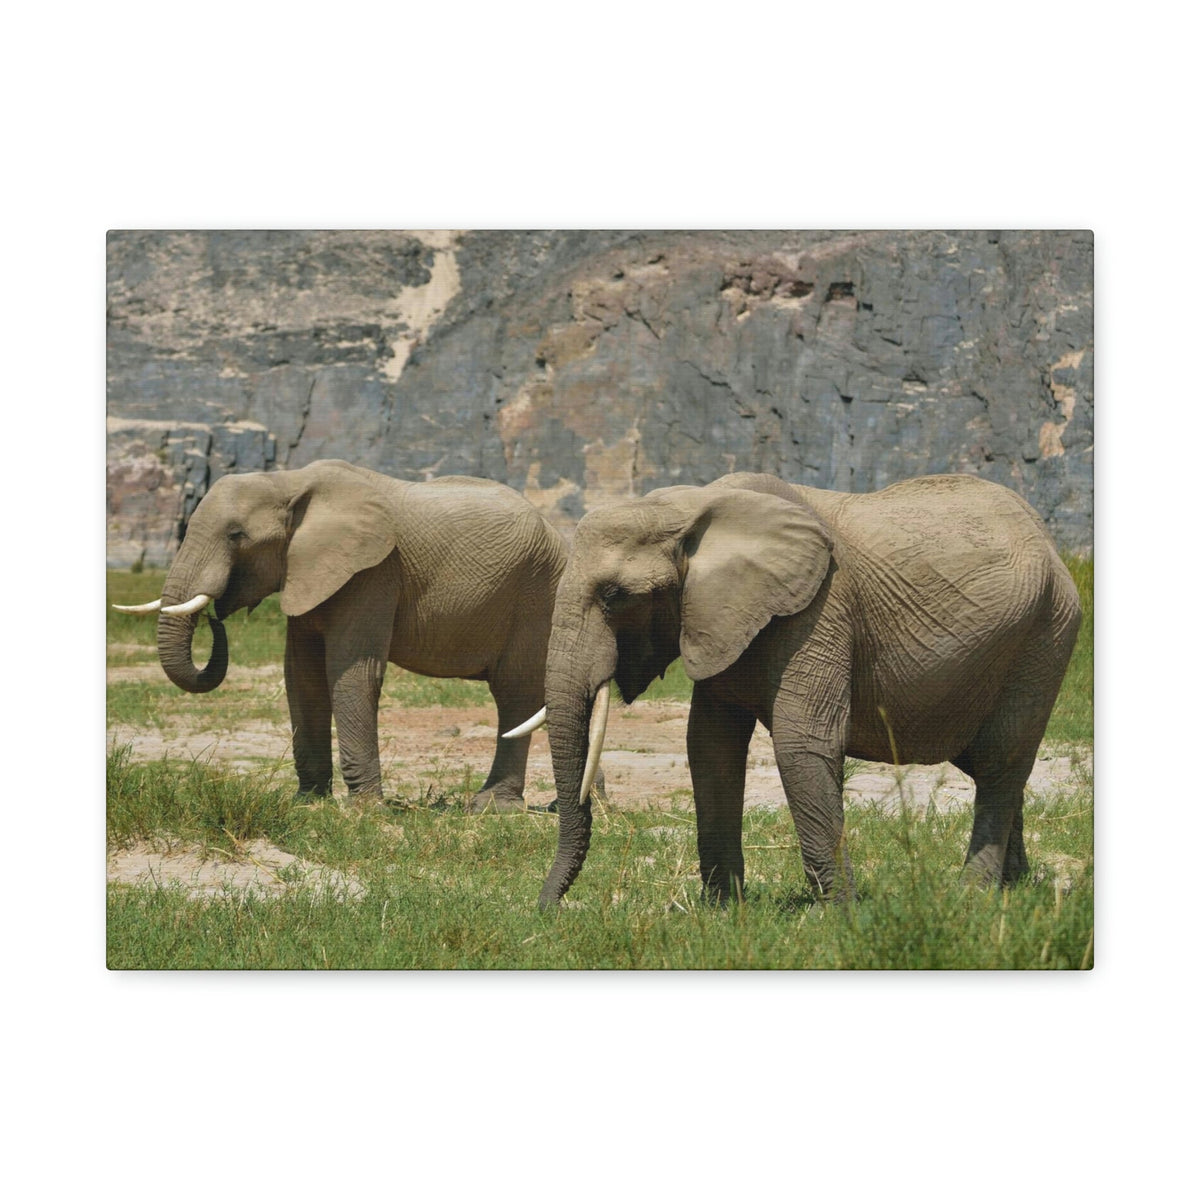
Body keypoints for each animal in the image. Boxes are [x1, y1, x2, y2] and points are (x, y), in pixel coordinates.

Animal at [114, 459, 567, 810]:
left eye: (236, 535)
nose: (216, 616)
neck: (289, 481)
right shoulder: (308, 571)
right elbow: (302, 676)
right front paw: (308, 802)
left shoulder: (373, 571)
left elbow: (352, 673)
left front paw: (364, 810)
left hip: (538, 593)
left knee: (514, 694)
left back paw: (492, 808)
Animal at [504, 472, 1081, 908]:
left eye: (613, 596)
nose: (546, 910)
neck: (691, 509)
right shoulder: (719, 617)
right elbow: (709, 746)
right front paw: (723, 910)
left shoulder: (820, 608)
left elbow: (801, 743)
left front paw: (842, 915)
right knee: (992, 767)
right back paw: (1015, 887)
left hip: (1047, 633)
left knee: (1002, 761)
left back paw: (972, 897)